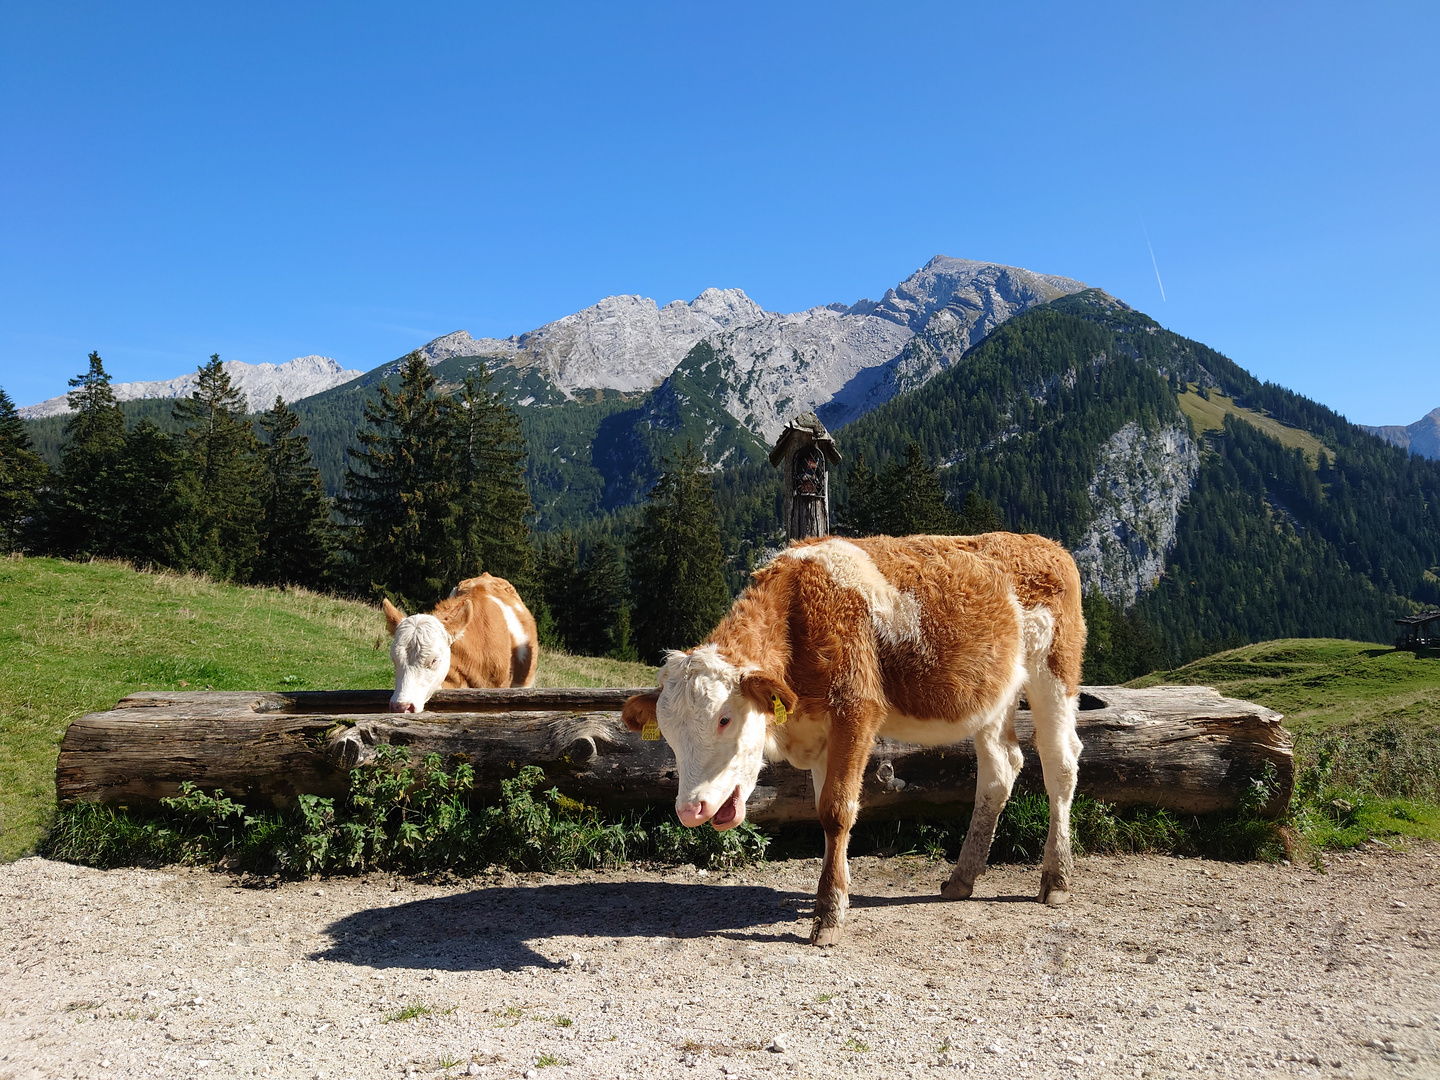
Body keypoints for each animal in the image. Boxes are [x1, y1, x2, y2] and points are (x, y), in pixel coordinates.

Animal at [619, 532, 1082, 944]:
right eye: (668, 734)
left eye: (725, 719)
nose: (690, 809)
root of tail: (1044, 544)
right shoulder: (821, 733)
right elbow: (824, 812)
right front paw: (833, 898)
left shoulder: (856, 711)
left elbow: (837, 810)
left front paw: (827, 916)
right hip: (993, 697)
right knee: (1000, 771)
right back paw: (961, 879)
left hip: (1054, 672)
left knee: (1060, 765)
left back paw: (1056, 878)